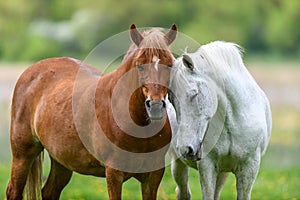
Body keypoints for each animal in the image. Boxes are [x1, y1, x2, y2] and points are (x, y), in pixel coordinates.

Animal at [5, 24, 177, 199]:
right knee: (13, 190)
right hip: (23, 154)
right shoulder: (114, 174)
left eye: (170, 64)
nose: (155, 105)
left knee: (49, 192)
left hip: (61, 160)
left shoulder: (153, 175)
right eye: (140, 65)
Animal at [168, 41, 274, 200]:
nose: (186, 149)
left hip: (222, 173)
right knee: (183, 193)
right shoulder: (207, 166)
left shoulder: (249, 167)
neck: (233, 121)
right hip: (178, 163)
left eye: (194, 93)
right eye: (170, 99)